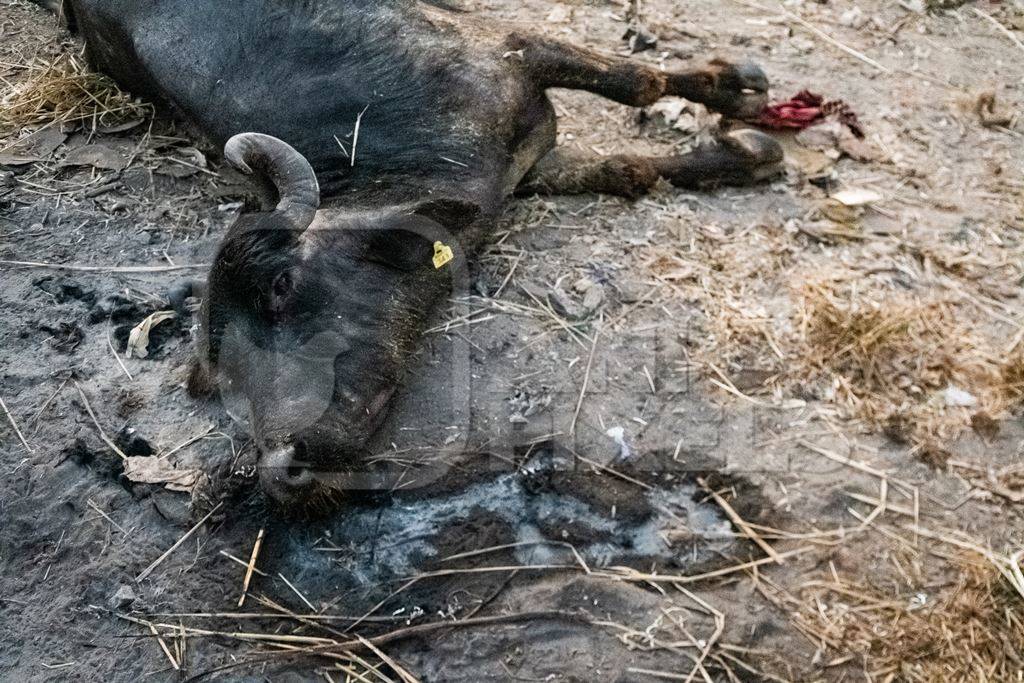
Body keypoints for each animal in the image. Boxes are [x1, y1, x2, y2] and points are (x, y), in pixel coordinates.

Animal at [34, 0, 782, 509]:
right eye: (220, 381)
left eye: (280, 285)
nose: (282, 469)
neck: (386, 143)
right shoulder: (535, 164)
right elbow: (628, 168)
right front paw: (743, 150)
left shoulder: (513, 52)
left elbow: (639, 85)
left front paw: (736, 94)